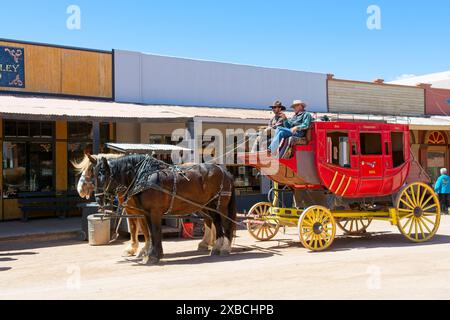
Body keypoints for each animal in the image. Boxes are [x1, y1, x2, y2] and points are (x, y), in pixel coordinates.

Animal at [91, 154, 237, 264]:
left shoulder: (154, 211)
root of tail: (225, 171)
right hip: (210, 206)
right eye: (94, 176)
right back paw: (216, 248)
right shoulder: (145, 213)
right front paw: (150, 253)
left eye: (103, 176)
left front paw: (153, 256)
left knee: (226, 224)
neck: (144, 177)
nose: (98, 199)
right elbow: (149, 232)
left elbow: (155, 231)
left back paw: (224, 248)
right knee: (216, 223)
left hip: (221, 206)